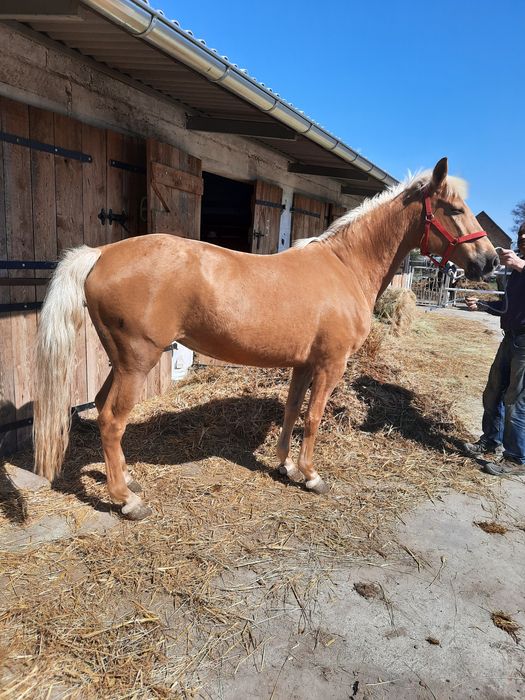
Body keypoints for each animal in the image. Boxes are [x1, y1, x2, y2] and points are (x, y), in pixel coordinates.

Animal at [33, 160, 496, 520]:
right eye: (455, 209)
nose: (490, 261)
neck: (344, 266)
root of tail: (101, 254)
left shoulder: (304, 364)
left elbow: (292, 412)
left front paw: (286, 467)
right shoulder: (330, 364)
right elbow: (314, 418)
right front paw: (311, 476)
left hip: (120, 361)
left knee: (101, 407)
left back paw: (126, 477)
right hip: (136, 362)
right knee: (112, 419)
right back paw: (127, 501)